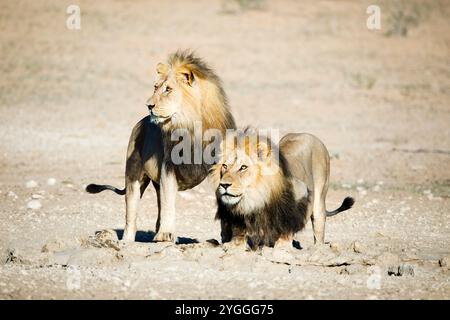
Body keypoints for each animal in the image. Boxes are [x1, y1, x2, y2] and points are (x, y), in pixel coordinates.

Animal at [85, 50, 237, 241]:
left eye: (168, 89)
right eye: (155, 87)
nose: (149, 105)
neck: (190, 127)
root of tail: (141, 122)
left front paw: (228, 236)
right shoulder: (168, 168)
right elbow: (168, 203)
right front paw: (166, 235)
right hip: (134, 176)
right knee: (131, 215)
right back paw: (127, 241)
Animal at [213, 129, 354, 249]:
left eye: (243, 167)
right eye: (225, 166)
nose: (224, 185)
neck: (257, 197)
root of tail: (308, 135)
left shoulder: (300, 193)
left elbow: (289, 223)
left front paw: (282, 245)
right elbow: (239, 230)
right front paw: (234, 244)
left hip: (319, 199)